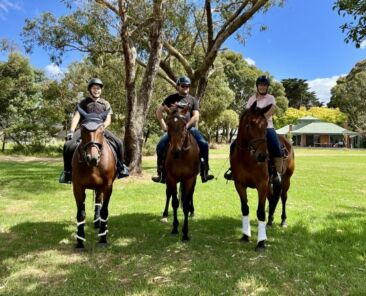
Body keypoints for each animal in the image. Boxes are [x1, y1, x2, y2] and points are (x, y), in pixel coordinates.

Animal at [72, 106, 116, 250]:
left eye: (102, 130)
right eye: (83, 129)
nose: (93, 158)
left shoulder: (108, 186)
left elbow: (104, 211)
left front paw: (103, 238)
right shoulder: (78, 187)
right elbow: (81, 213)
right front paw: (80, 241)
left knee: (99, 202)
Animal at [164, 104, 199, 240]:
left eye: (184, 125)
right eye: (168, 124)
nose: (175, 151)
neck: (182, 156)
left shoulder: (189, 179)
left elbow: (185, 205)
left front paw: (185, 233)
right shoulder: (171, 178)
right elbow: (174, 202)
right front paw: (175, 228)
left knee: (189, 197)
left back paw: (192, 211)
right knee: (168, 194)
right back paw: (164, 215)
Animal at [232, 100, 294, 251]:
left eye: (266, 126)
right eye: (250, 124)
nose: (262, 156)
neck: (246, 158)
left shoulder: (262, 184)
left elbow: (260, 212)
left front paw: (261, 242)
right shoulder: (239, 184)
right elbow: (245, 209)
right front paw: (245, 236)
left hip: (286, 180)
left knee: (283, 198)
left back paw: (283, 221)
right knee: (272, 199)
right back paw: (270, 220)